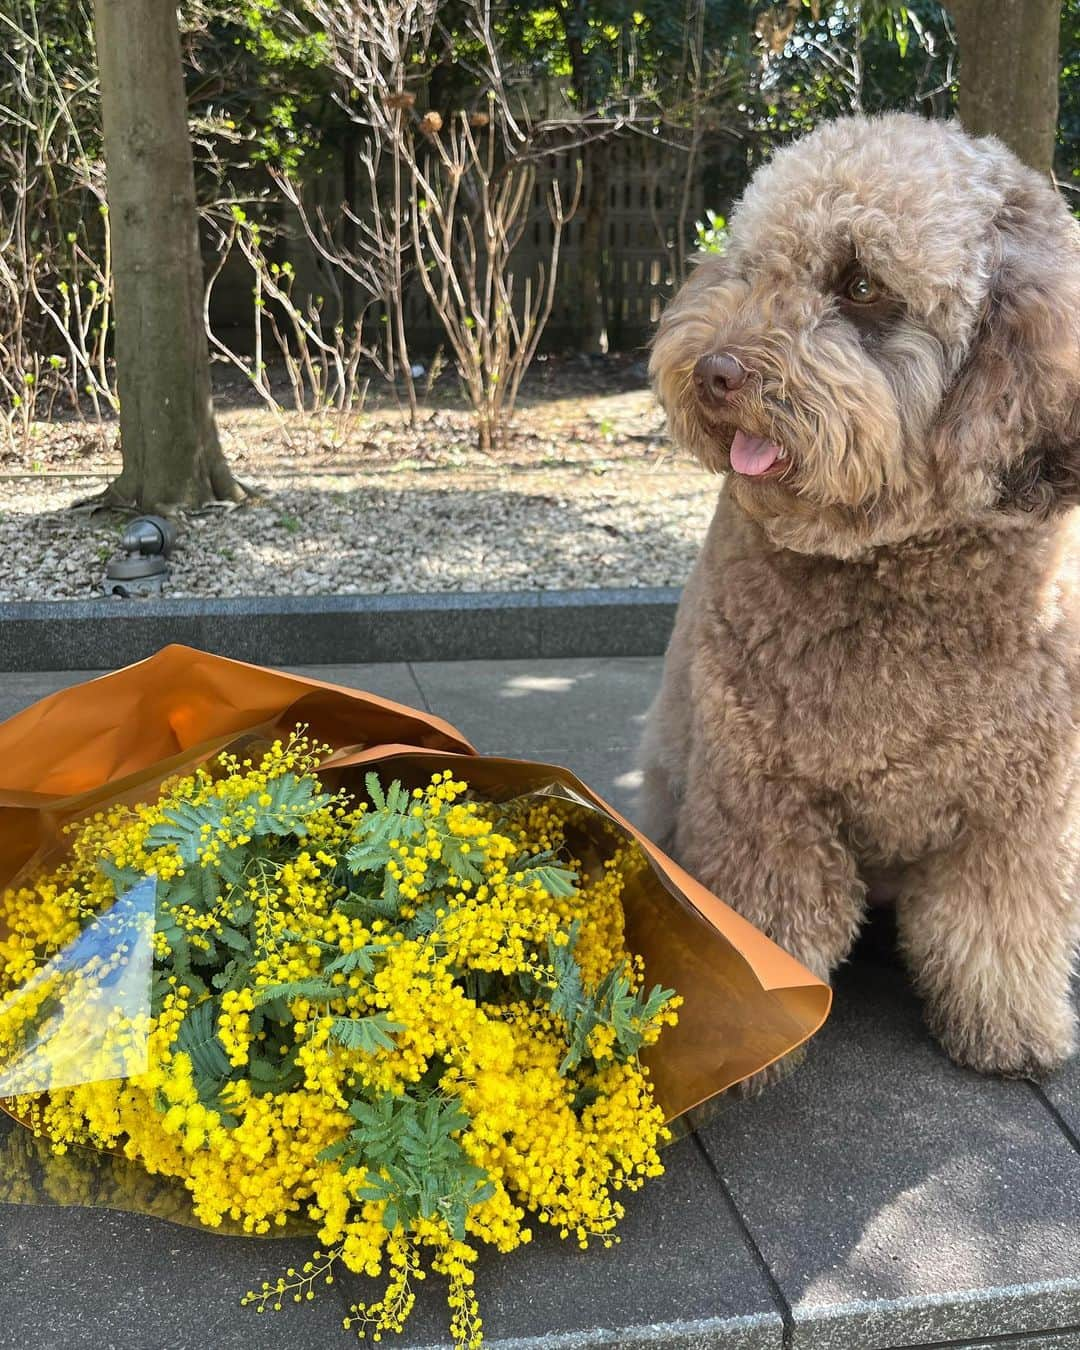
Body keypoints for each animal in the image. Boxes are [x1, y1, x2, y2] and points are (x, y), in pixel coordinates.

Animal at [642, 113, 1080, 1074]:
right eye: (750, 265)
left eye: (862, 283)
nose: (716, 370)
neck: (896, 564)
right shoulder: (760, 791)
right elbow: (771, 919)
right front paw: (757, 1032)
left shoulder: (1023, 811)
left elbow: (999, 924)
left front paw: (1008, 1029)